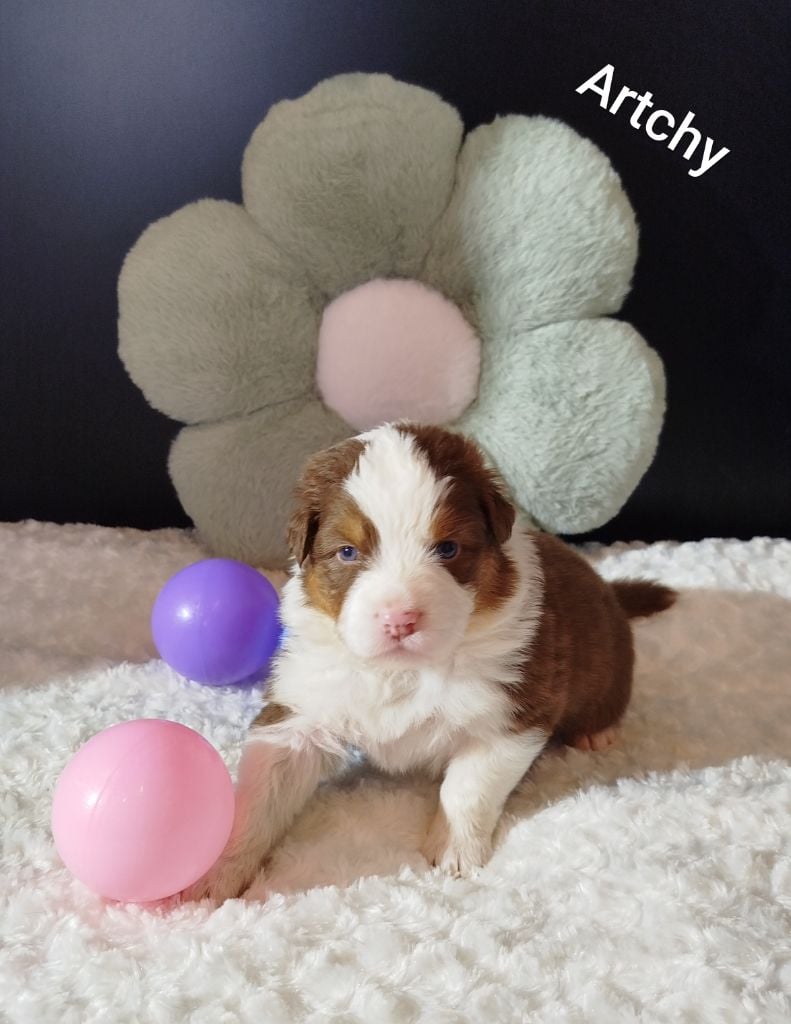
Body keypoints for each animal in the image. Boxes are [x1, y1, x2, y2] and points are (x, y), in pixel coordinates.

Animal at [185, 422, 675, 902]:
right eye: (348, 552)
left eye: (448, 549)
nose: (400, 619)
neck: (401, 670)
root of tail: (610, 592)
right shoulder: (302, 706)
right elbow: (260, 797)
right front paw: (215, 870)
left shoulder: (510, 714)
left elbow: (467, 789)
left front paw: (455, 849)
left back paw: (596, 732)